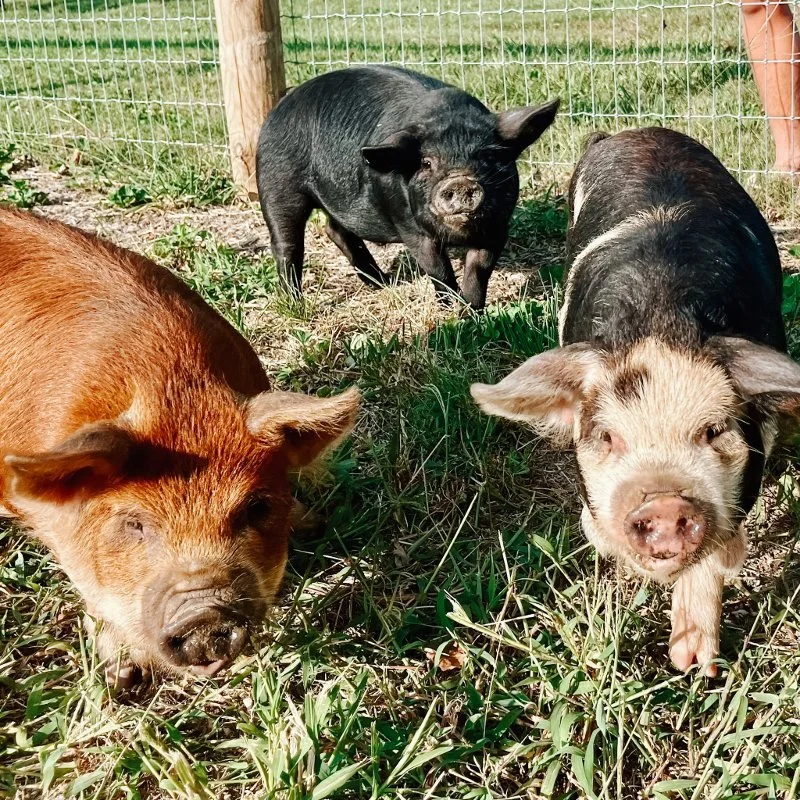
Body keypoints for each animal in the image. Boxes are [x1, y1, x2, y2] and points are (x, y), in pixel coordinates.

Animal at [0, 208, 359, 688]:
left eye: (256, 507)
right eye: (134, 524)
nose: (203, 615)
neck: (176, 391)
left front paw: (314, 524)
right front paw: (122, 679)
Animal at [256, 66, 559, 309]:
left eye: (488, 157)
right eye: (426, 163)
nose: (460, 181)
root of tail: (277, 110)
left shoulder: (497, 226)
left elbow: (479, 270)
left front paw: (472, 313)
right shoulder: (408, 225)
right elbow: (437, 268)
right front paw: (451, 310)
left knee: (336, 230)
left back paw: (383, 283)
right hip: (276, 184)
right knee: (286, 243)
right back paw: (296, 304)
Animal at [471, 127, 800, 675]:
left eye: (714, 431)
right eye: (607, 436)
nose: (664, 503)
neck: (660, 316)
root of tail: (635, 132)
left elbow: (715, 558)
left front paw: (693, 664)